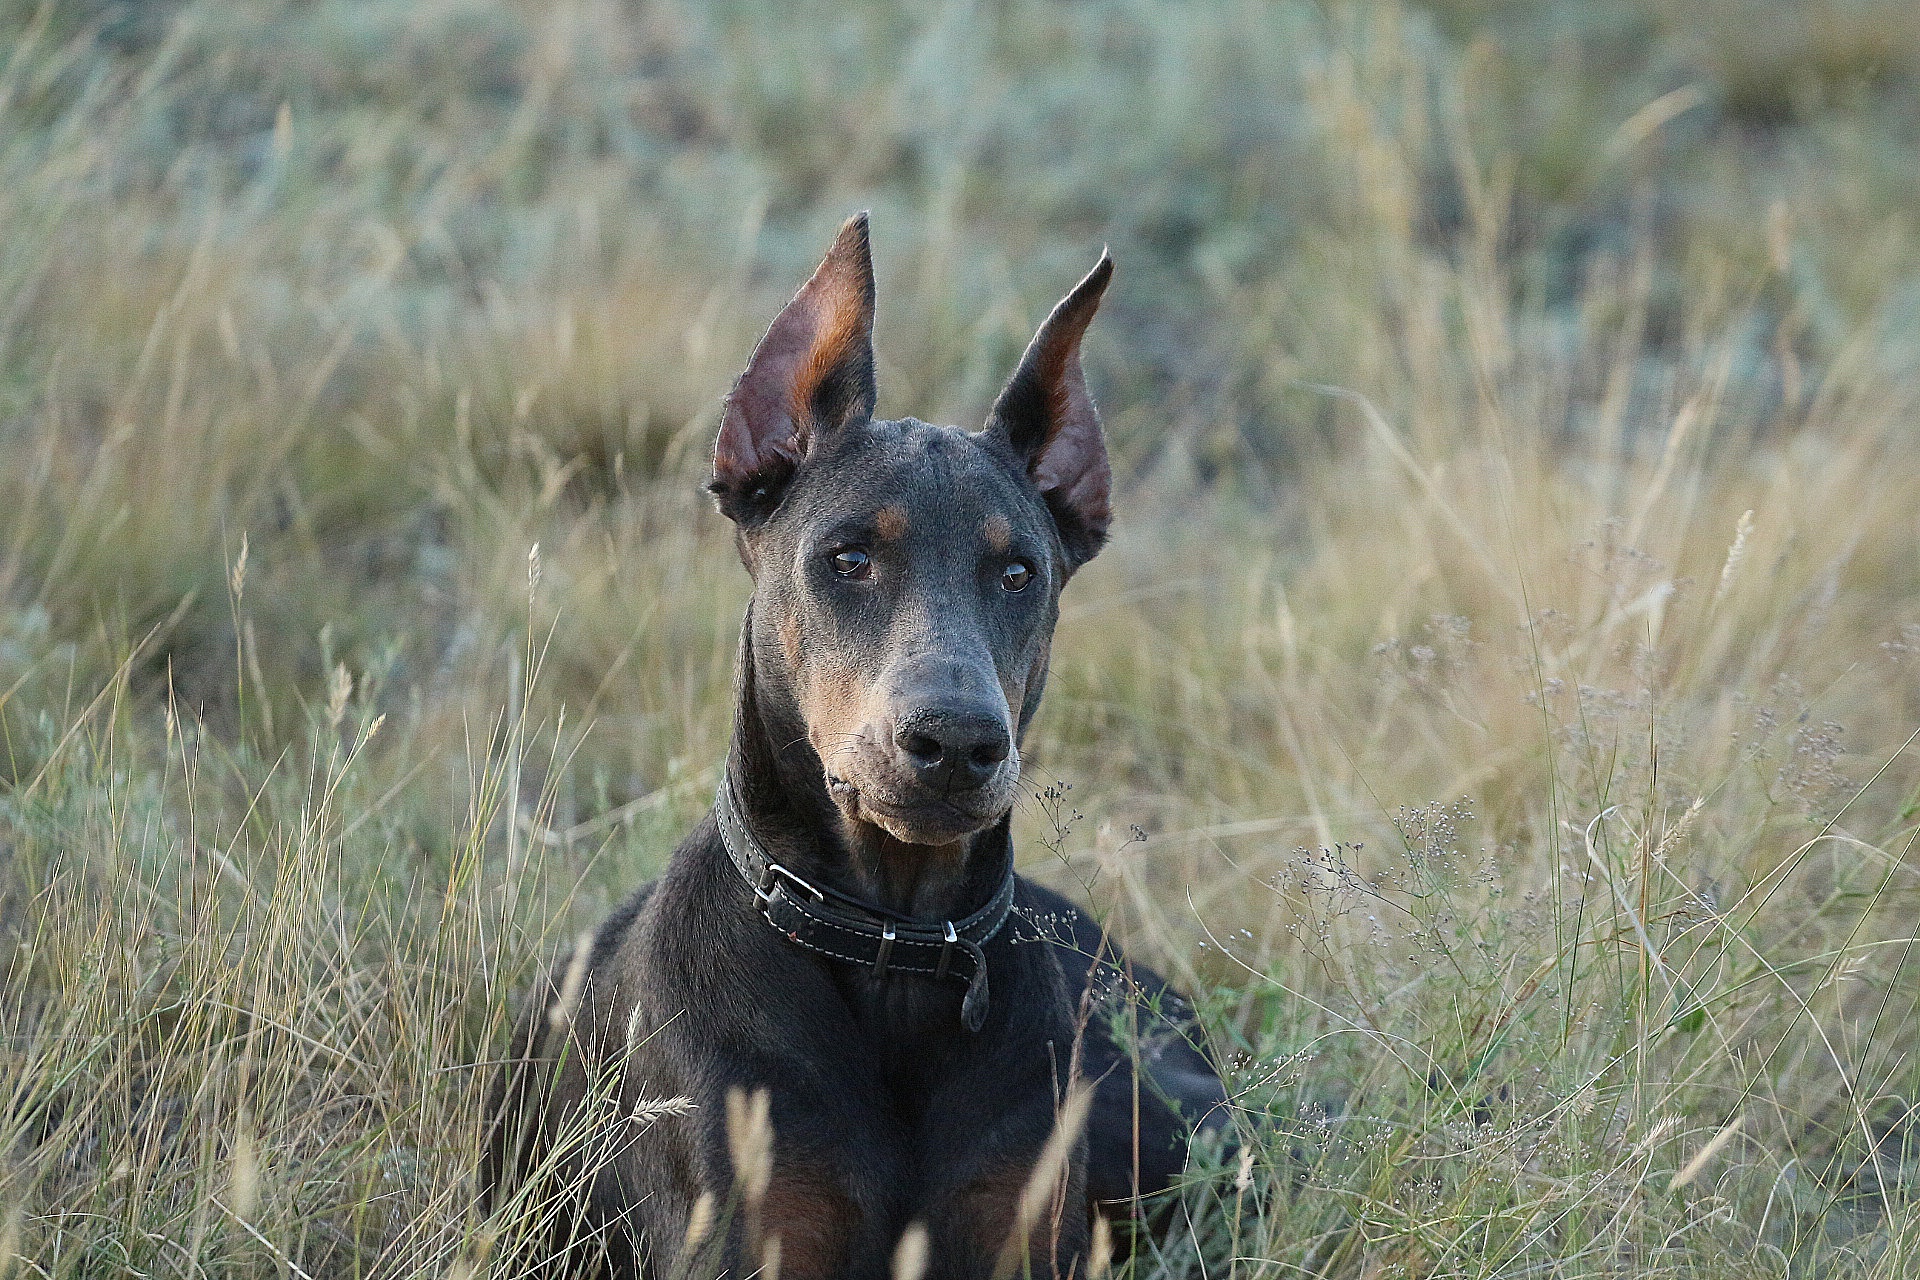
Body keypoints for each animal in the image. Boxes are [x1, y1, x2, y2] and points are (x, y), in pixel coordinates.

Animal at [483, 214, 1228, 1274]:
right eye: (848, 558)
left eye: (1019, 572)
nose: (956, 741)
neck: (897, 949)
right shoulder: (749, 1232)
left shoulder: (1020, 1224)